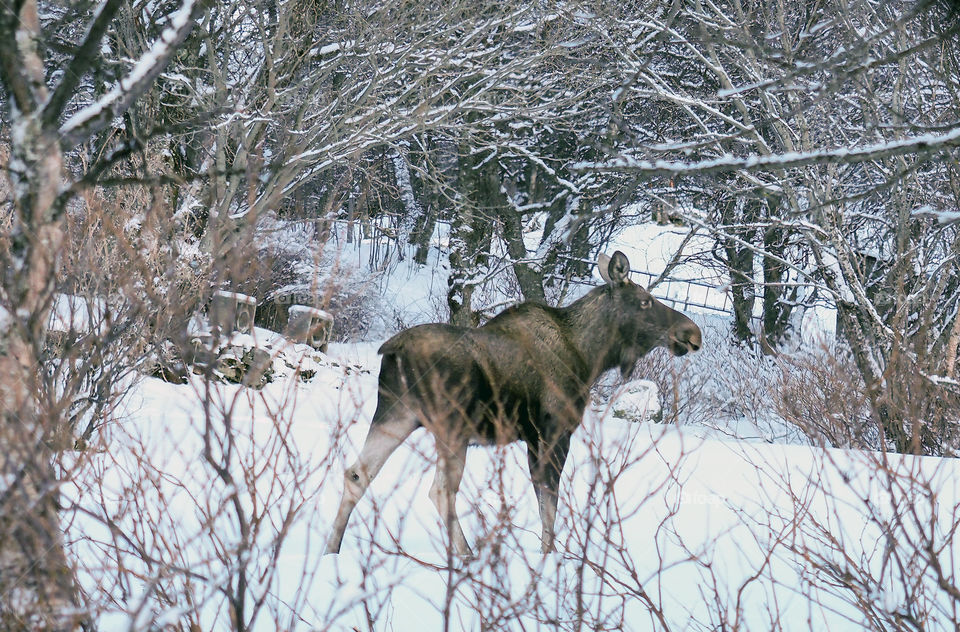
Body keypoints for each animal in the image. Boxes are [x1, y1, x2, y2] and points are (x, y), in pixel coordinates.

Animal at [326, 252, 700, 556]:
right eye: (645, 301)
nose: (692, 333)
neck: (591, 356)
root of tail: (393, 351)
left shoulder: (532, 439)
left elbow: (543, 499)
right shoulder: (555, 429)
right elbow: (549, 500)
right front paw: (549, 555)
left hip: (396, 414)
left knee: (357, 473)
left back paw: (332, 549)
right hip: (451, 427)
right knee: (441, 491)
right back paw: (468, 555)